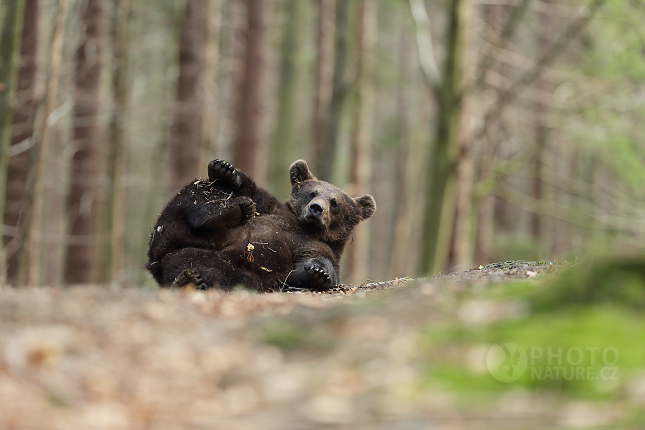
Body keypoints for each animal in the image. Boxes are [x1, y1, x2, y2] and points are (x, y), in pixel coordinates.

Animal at [145, 159, 378, 292]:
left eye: (335, 202)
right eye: (311, 193)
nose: (316, 208)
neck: (305, 228)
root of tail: (157, 260)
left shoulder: (320, 248)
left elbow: (308, 270)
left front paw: (319, 272)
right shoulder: (273, 210)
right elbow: (252, 191)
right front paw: (224, 169)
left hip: (228, 269)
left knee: (208, 271)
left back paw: (189, 281)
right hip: (172, 226)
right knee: (196, 193)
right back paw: (228, 213)